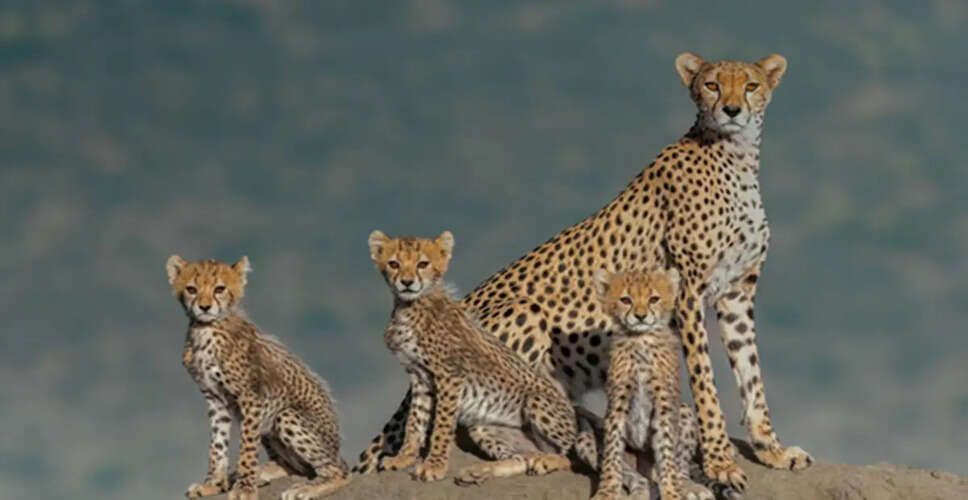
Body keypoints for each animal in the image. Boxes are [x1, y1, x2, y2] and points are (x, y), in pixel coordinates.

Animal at [167, 255, 350, 500]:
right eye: (191, 289)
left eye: (219, 289)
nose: (204, 307)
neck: (206, 329)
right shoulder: (215, 397)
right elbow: (218, 444)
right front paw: (214, 483)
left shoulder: (250, 398)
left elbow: (247, 446)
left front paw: (244, 487)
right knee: (295, 466)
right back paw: (260, 473)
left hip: (284, 415)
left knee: (337, 471)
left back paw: (304, 488)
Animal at [368, 230, 590, 486]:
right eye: (394, 263)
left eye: (423, 264)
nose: (406, 282)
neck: (410, 306)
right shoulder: (420, 376)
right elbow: (415, 421)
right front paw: (404, 457)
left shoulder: (449, 376)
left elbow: (441, 425)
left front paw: (435, 466)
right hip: (484, 426)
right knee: (522, 458)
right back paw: (480, 471)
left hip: (537, 403)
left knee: (572, 457)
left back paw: (546, 462)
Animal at [589, 268, 713, 500]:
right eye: (626, 300)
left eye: (653, 299)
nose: (640, 316)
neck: (640, 339)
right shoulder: (617, 402)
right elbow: (612, 451)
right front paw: (607, 490)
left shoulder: (664, 403)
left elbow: (666, 451)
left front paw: (672, 492)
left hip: (684, 411)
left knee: (680, 467)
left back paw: (688, 487)